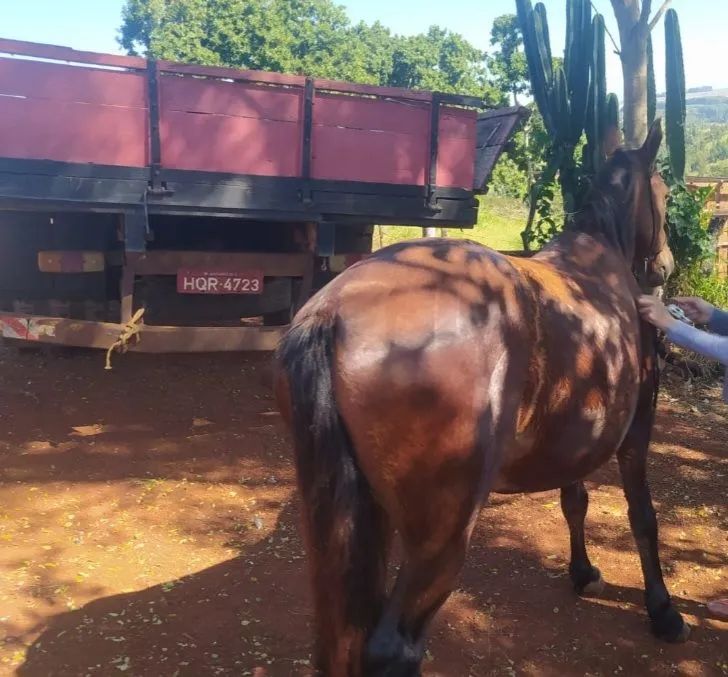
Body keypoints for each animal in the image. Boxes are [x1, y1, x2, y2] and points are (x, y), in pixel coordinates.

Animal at [275, 120, 686, 676]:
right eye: (663, 193)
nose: (664, 265)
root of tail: (333, 309)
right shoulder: (636, 429)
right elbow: (643, 517)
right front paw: (662, 610)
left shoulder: (576, 435)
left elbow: (574, 501)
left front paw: (582, 572)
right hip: (441, 538)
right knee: (393, 647)